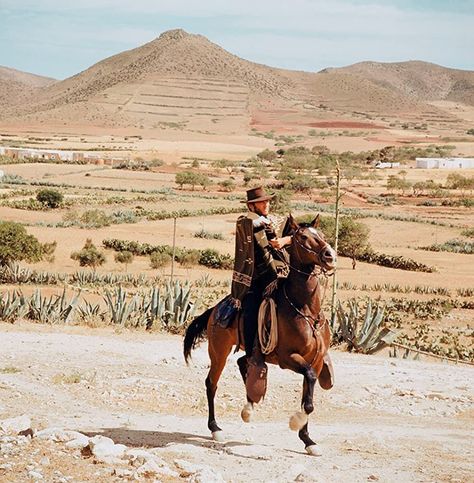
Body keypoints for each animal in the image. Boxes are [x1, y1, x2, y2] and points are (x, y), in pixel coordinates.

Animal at [182, 216, 336, 458]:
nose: (330, 255)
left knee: (243, 362)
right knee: (211, 383)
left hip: (250, 352)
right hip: (219, 352)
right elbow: (309, 389)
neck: (304, 308)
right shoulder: (288, 358)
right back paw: (215, 429)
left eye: (320, 234)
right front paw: (296, 422)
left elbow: (308, 396)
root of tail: (216, 308)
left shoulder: (317, 360)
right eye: (303, 237)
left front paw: (308, 441)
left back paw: (249, 408)